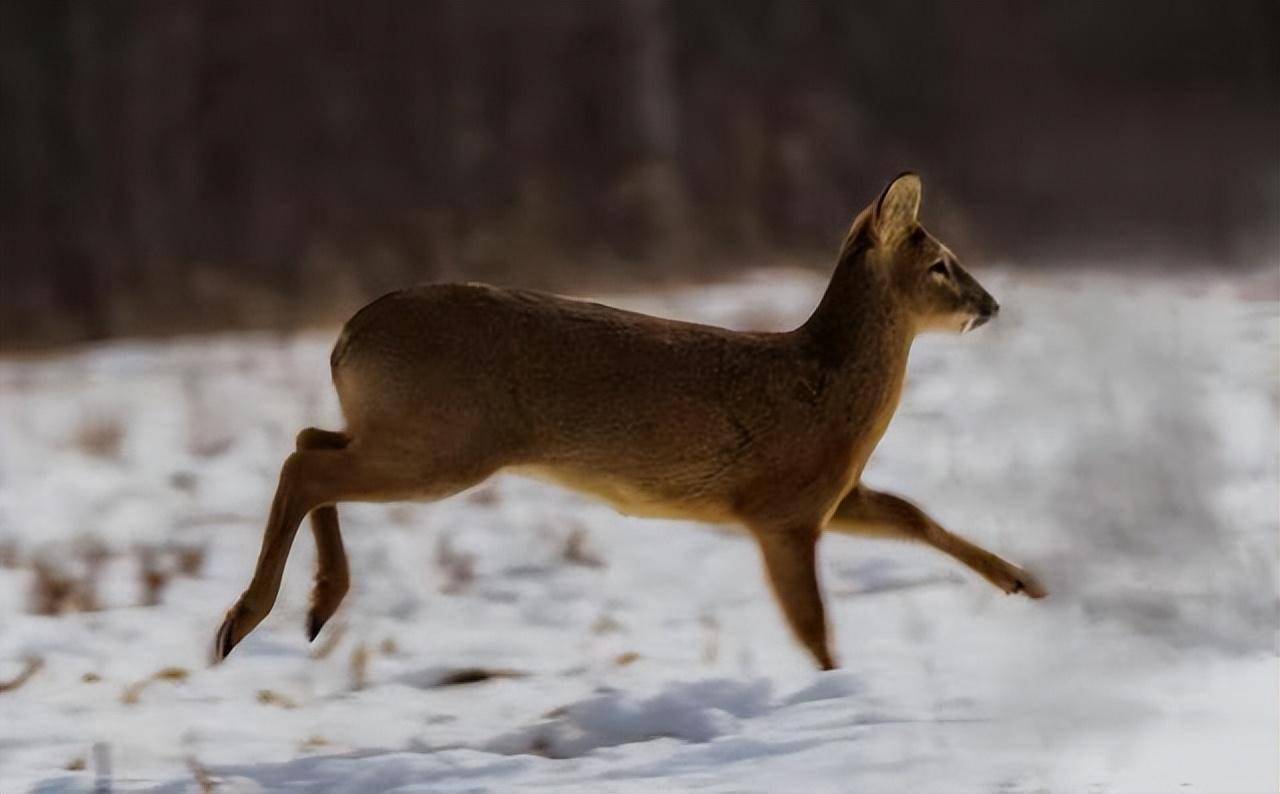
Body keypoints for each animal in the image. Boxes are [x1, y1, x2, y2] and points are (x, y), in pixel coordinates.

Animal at [215, 175, 1044, 671]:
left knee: (310, 442)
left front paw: (1024, 582)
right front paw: (836, 689)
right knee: (306, 465)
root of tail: (347, 336)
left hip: (408, 431)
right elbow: (814, 624)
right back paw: (244, 621)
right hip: (447, 443)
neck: (829, 382)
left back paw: (315, 605)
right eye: (940, 264)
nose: (991, 304)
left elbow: (911, 513)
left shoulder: (828, 498)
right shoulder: (781, 509)